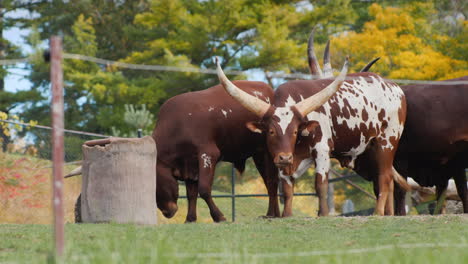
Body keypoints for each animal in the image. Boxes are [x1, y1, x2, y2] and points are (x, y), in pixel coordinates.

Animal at [154, 81, 280, 222]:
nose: (167, 213)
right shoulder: (190, 164)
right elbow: (191, 193)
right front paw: (190, 218)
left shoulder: (208, 154)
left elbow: (204, 189)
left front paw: (218, 216)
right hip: (258, 155)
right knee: (269, 181)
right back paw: (275, 214)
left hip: (270, 153)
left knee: (272, 181)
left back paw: (271, 213)